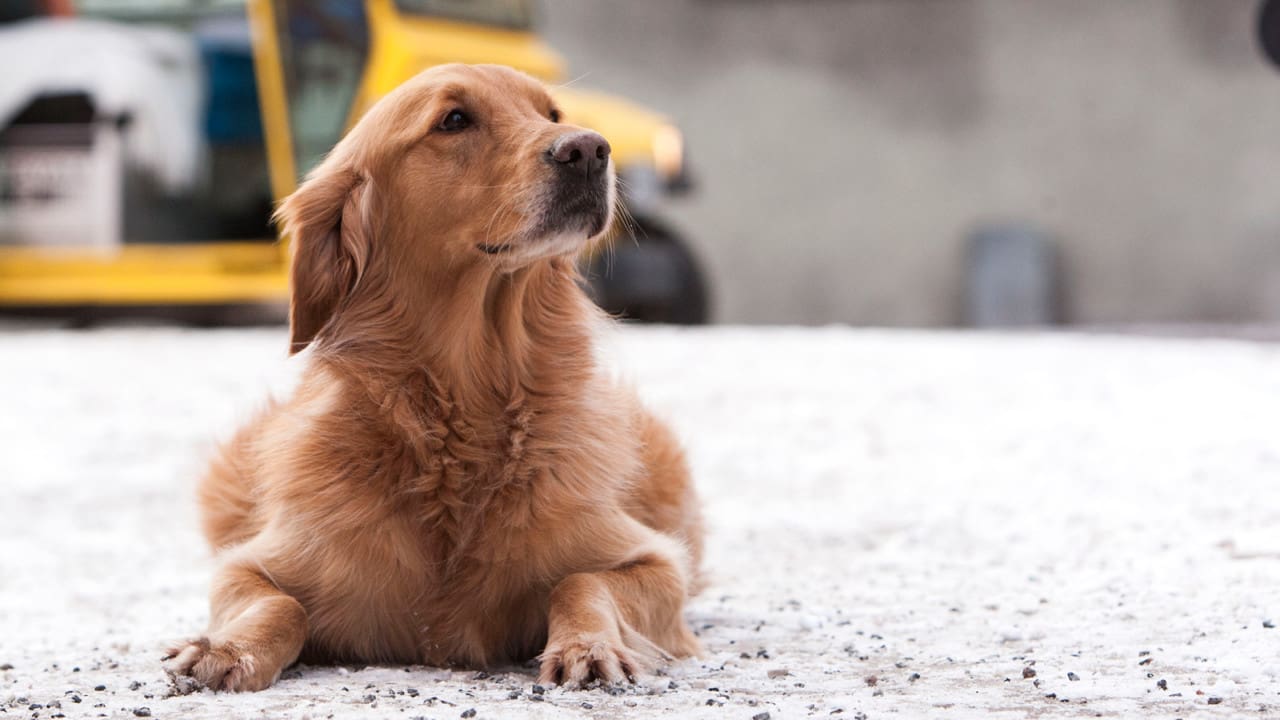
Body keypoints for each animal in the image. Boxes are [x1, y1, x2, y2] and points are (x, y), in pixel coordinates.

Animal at [165, 65, 706, 691]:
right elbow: (281, 602)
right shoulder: (251, 563)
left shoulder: (654, 560)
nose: (591, 149)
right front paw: (227, 648)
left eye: (551, 114)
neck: (466, 407)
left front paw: (589, 646)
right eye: (453, 120)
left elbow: (581, 580)